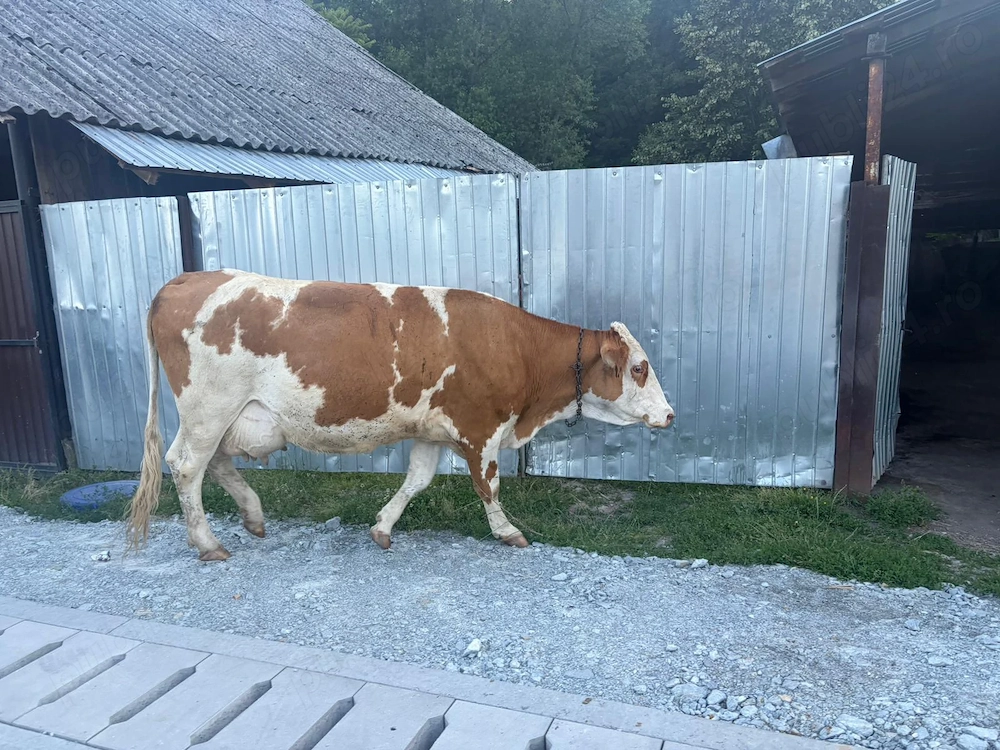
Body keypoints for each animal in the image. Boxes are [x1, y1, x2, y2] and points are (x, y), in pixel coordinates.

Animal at [126, 269, 674, 561]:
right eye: (640, 367)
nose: (670, 414)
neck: (517, 347)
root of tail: (187, 278)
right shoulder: (481, 428)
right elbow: (489, 486)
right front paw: (507, 532)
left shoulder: (431, 428)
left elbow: (416, 481)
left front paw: (383, 526)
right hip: (208, 407)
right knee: (188, 467)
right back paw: (208, 543)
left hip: (226, 416)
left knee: (211, 462)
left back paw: (254, 516)